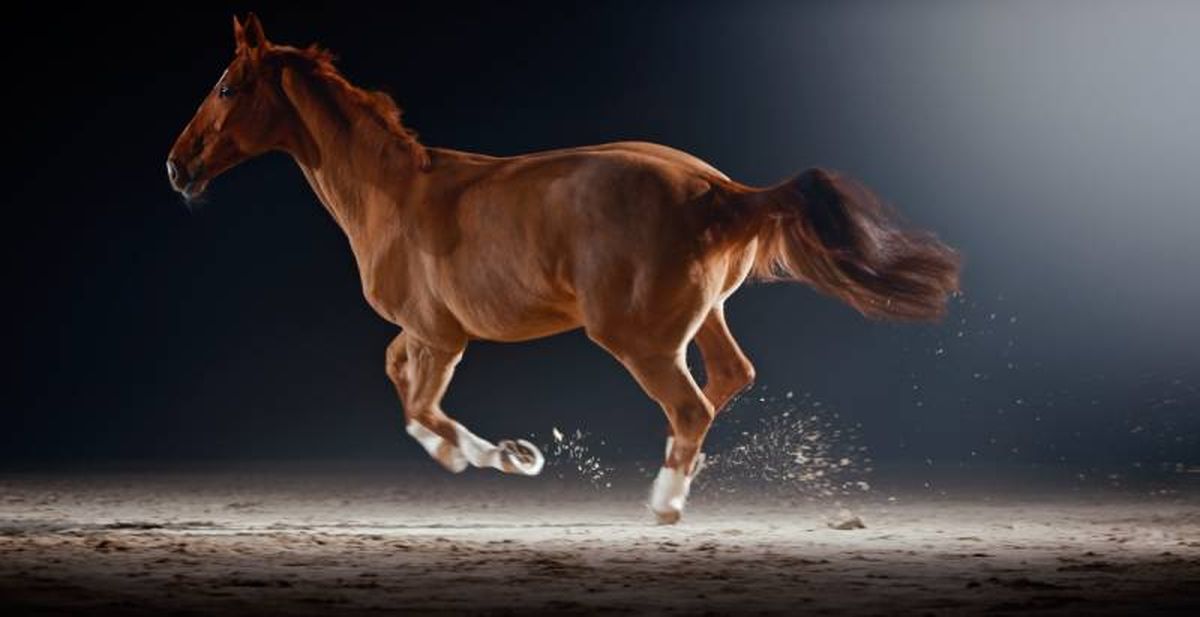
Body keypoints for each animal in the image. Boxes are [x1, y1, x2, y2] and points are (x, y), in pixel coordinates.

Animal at [167, 14, 960, 523]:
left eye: (229, 88)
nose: (177, 167)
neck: (392, 195)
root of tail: (721, 190)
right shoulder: (424, 331)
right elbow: (399, 383)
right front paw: (487, 454)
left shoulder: (441, 336)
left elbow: (419, 403)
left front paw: (506, 457)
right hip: (704, 314)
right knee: (730, 377)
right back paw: (677, 476)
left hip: (637, 336)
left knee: (691, 405)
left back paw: (664, 503)